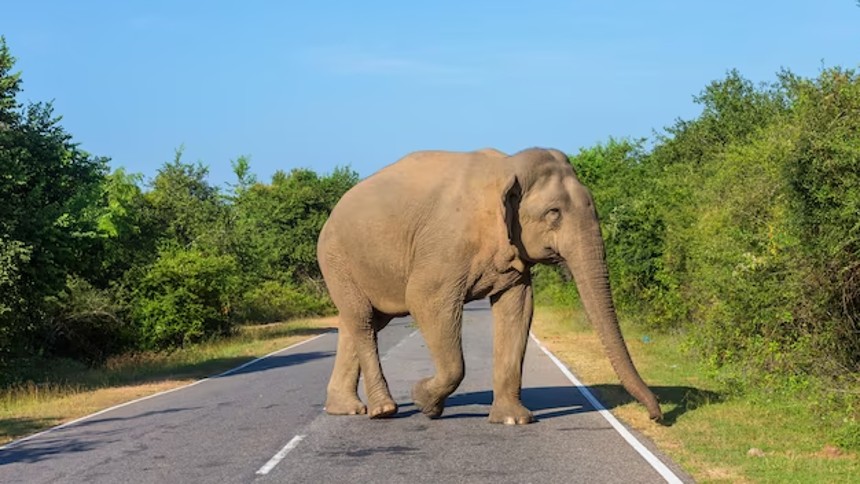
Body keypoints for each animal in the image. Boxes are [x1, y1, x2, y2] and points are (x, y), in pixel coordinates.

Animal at [320, 147, 660, 424]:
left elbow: (518, 307)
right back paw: (384, 410)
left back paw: (346, 408)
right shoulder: (445, 245)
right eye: (554, 213)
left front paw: (513, 420)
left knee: (360, 322)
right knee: (362, 320)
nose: (656, 416)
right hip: (336, 258)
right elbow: (424, 299)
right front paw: (424, 402)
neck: (507, 167)